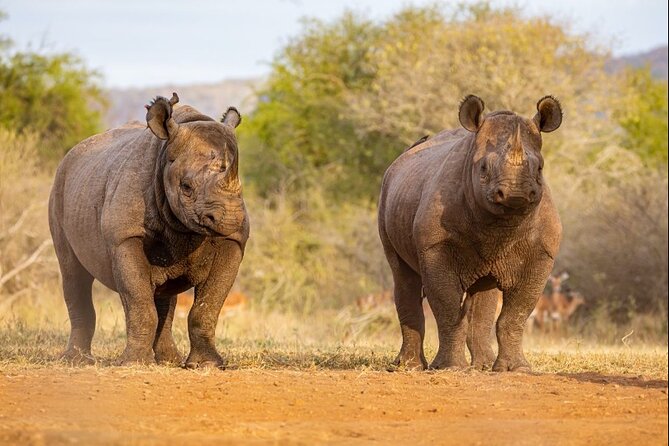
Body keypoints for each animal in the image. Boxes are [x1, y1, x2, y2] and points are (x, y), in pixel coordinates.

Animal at [48, 93, 249, 368]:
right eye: (186, 187)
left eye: (241, 186)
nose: (230, 219)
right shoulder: (125, 236)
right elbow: (139, 302)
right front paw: (133, 363)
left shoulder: (233, 241)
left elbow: (207, 307)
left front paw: (207, 365)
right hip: (59, 188)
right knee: (73, 273)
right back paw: (77, 361)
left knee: (165, 294)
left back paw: (170, 361)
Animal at [378, 95, 563, 371]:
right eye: (483, 168)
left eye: (540, 168)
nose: (515, 194)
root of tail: (401, 159)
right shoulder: (435, 247)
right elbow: (448, 307)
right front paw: (450, 368)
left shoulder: (541, 252)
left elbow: (516, 313)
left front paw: (516, 369)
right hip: (385, 194)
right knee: (402, 275)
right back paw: (408, 367)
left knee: (484, 291)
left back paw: (483, 366)